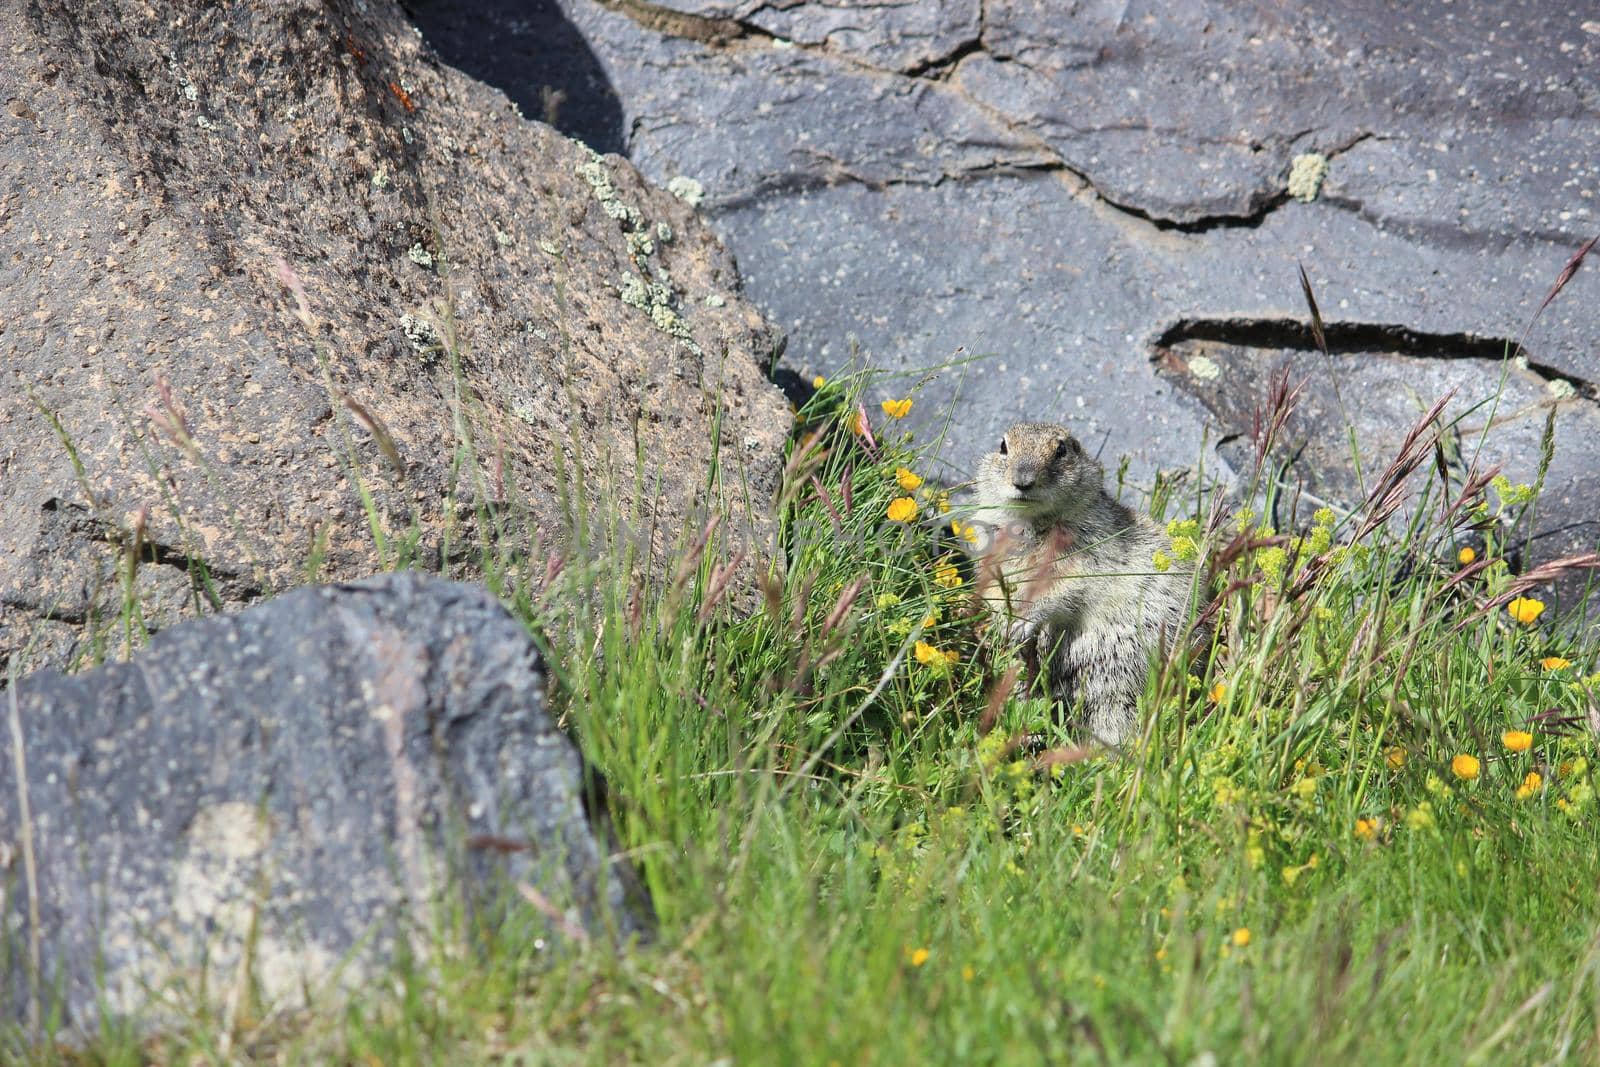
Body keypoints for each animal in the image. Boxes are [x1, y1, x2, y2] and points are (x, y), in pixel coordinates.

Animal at [960, 422, 1203, 748]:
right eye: (1003, 446)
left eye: (1061, 450)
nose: (1022, 481)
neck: (1032, 523)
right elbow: (992, 588)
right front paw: (1002, 622)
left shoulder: (1086, 556)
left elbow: (1064, 590)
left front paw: (1023, 620)